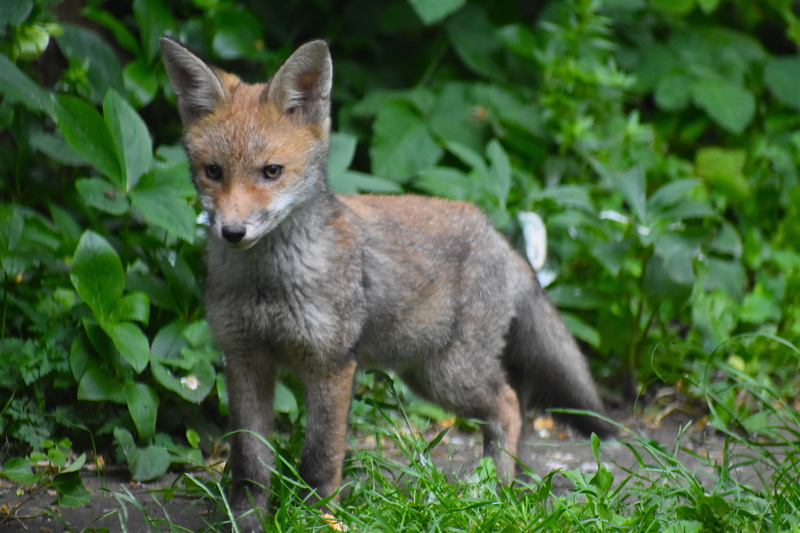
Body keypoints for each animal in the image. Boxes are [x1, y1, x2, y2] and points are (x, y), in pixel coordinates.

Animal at [160, 37, 615, 529]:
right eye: (213, 172)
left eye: (272, 172)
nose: (232, 232)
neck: (268, 285)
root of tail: (498, 235)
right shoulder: (244, 360)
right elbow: (249, 465)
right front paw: (245, 521)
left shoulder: (332, 365)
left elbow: (321, 457)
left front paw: (317, 518)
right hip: (424, 373)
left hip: (450, 376)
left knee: (512, 405)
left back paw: (492, 490)